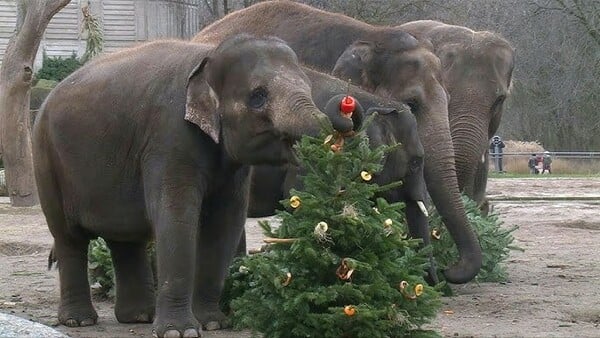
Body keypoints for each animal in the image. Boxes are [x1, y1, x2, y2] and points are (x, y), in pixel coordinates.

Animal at [32, 35, 354, 338]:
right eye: (258, 97)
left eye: (307, 87)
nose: (346, 106)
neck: (209, 55)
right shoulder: (169, 137)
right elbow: (176, 217)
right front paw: (179, 332)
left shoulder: (232, 165)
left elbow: (224, 223)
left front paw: (213, 324)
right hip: (47, 159)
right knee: (69, 237)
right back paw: (80, 321)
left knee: (125, 238)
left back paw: (138, 317)